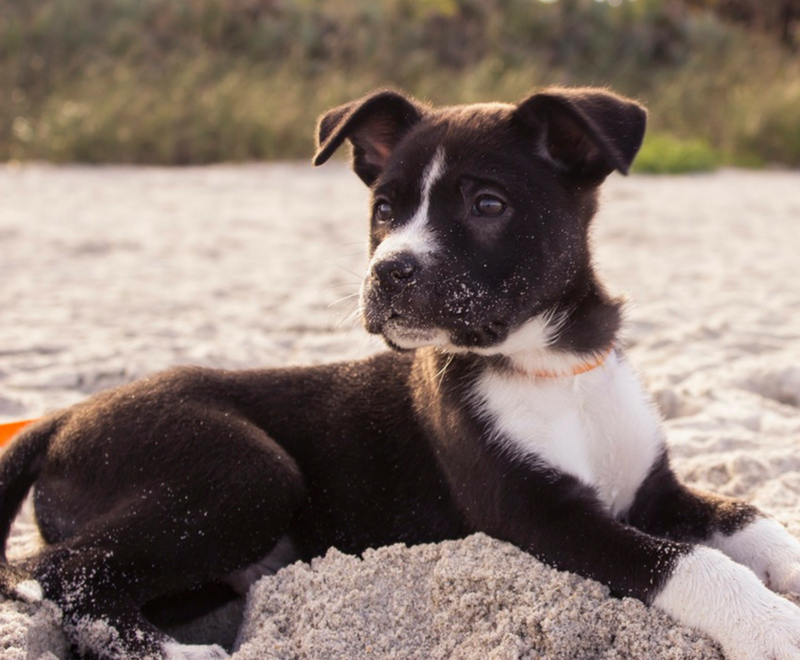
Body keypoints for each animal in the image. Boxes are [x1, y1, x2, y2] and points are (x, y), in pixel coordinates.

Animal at [1, 89, 800, 660]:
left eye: (487, 204)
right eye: (383, 209)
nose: (388, 271)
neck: (552, 365)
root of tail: (62, 417)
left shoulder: (653, 489)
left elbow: (752, 518)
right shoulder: (541, 516)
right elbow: (689, 564)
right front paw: (772, 627)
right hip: (246, 470)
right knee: (56, 575)